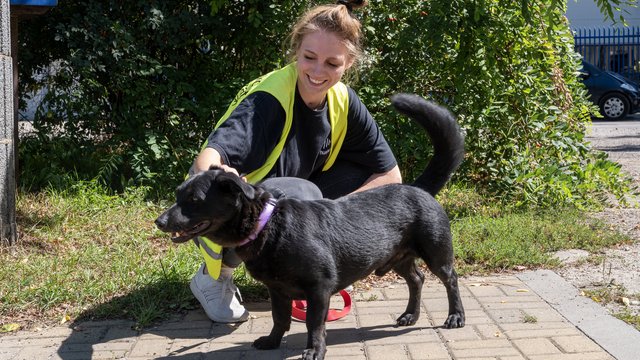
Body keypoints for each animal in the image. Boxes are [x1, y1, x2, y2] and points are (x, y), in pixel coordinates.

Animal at [155, 93, 464, 360]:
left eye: (194, 200)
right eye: (178, 195)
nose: (160, 221)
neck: (271, 227)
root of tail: (418, 188)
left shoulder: (319, 289)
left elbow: (314, 325)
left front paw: (315, 350)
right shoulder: (277, 290)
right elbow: (280, 318)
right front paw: (272, 340)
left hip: (436, 253)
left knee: (450, 279)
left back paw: (456, 316)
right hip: (398, 257)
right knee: (417, 280)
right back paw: (410, 315)